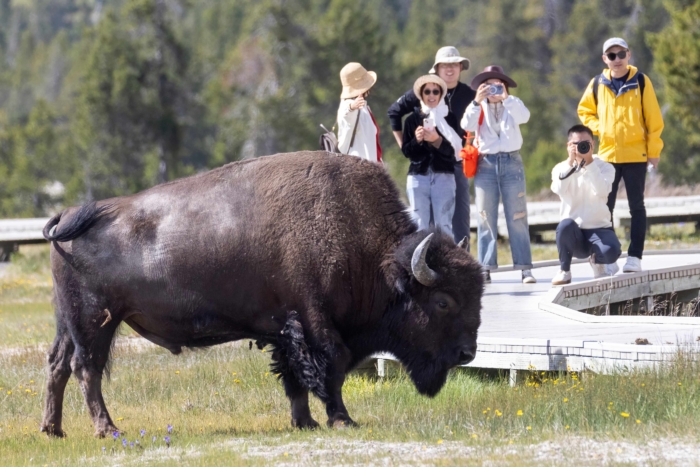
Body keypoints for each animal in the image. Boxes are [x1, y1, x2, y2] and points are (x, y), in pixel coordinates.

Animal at [40, 151, 483, 437]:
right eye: (443, 301)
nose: (467, 352)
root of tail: (70, 215)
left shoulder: (284, 329)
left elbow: (294, 377)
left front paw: (304, 422)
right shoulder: (315, 323)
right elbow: (331, 368)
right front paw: (342, 419)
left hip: (69, 322)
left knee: (58, 365)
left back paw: (53, 430)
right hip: (97, 320)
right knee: (86, 368)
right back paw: (107, 430)